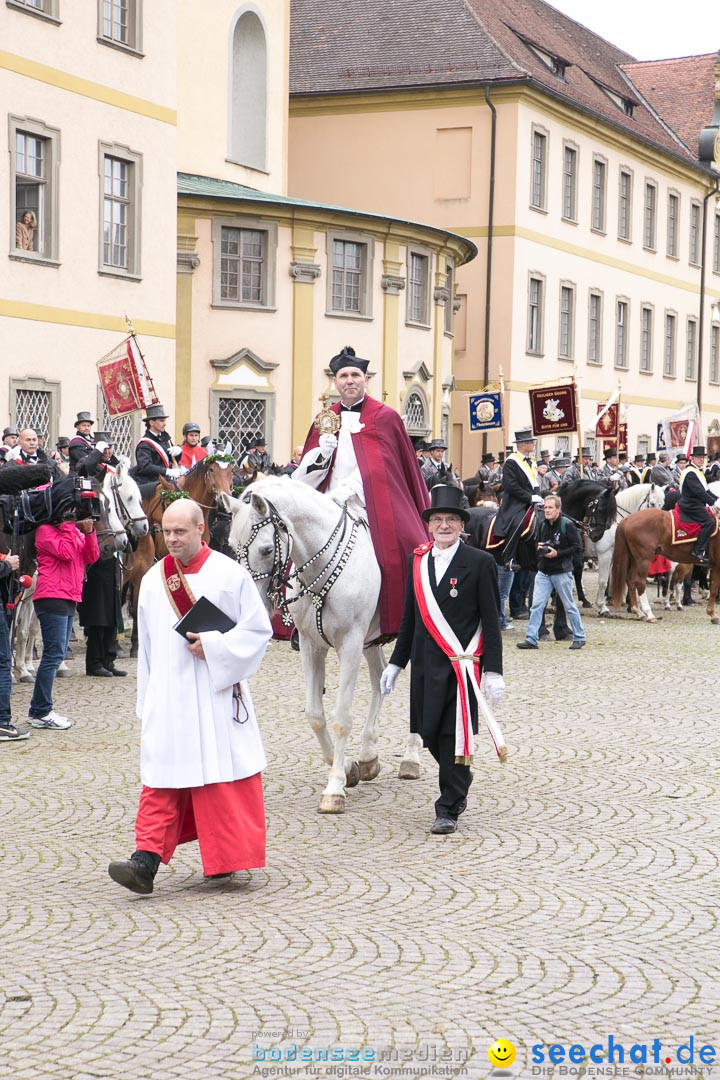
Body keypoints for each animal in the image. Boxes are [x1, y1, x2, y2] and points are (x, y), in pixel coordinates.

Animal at [222, 477, 425, 812]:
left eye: (266, 549)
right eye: (231, 547)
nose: (251, 606)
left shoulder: (350, 644)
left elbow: (341, 718)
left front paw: (334, 789)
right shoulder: (310, 645)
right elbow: (315, 716)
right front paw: (347, 768)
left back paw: (410, 757)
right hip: (373, 641)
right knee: (379, 679)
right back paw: (368, 755)